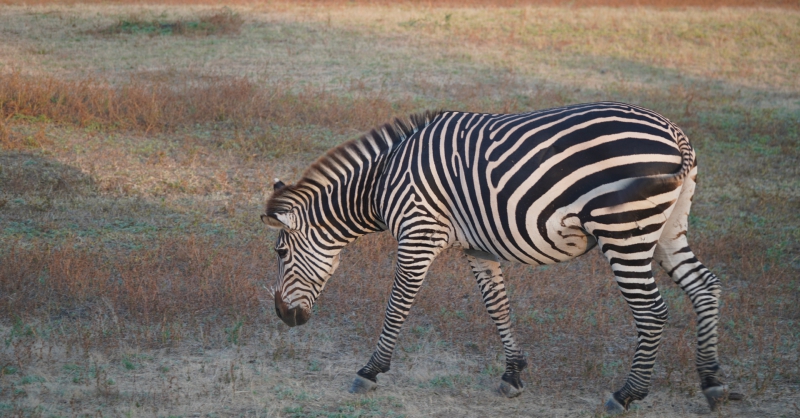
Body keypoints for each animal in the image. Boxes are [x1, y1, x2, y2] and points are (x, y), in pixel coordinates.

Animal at [260, 103, 732, 414]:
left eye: (280, 251)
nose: (283, 316)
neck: (382, 180)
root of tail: (675, 134)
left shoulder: (418, 235)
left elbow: (398, 305)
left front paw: (371, 370)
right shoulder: (478, 246)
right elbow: (497, 306)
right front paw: (513, 374)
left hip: (623, 231)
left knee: (652, 311)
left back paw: (627, 394)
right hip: (668, 227)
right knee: (705, 287)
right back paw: (713, 383)